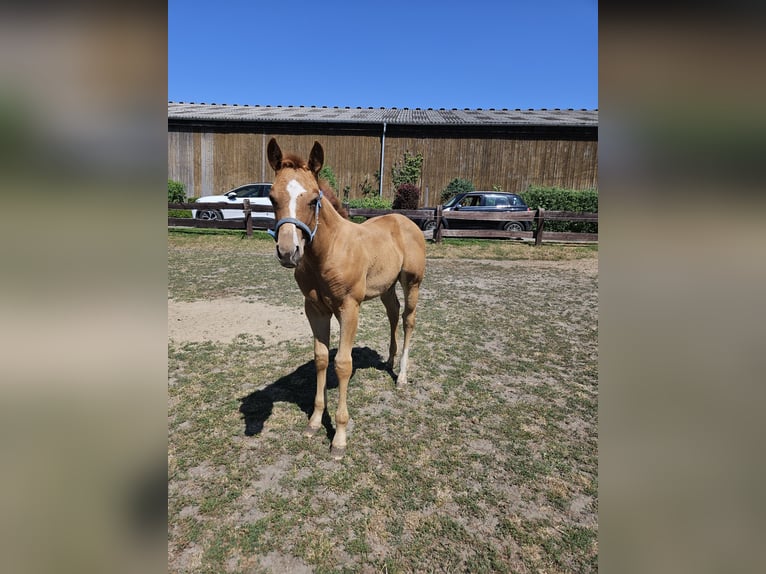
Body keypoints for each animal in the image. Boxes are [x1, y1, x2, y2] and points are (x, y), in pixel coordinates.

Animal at [266, 138, 426, 459]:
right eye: (272, 197)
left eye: (313, 199)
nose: (288, 252)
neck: (328, 251)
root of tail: (406, 221)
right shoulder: (314, 309)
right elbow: (320, 358)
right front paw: (315, 422)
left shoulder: (349, 308)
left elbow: (342, 364)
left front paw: (339, 437)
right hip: (386, 286)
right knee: (393, 313)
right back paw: (389, 360)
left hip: (412, 281)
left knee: (408, 320)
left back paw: (402, 376)